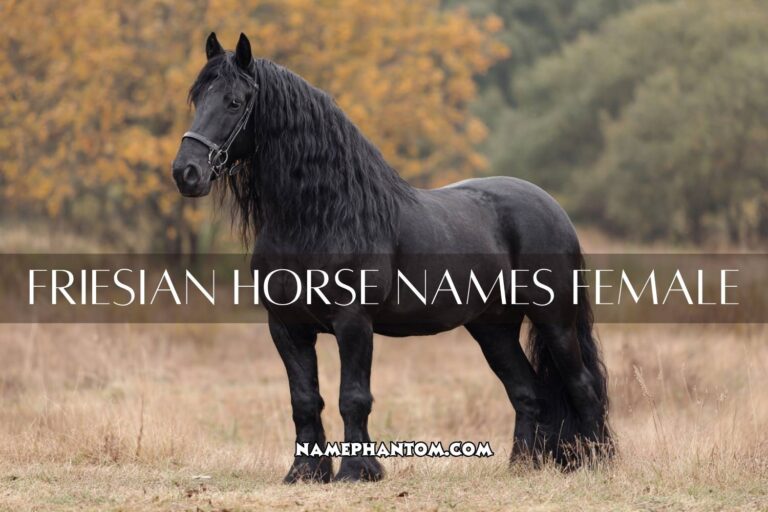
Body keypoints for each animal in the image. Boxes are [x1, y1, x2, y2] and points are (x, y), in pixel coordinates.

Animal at [172, 32, 612, 483]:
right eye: (197, 97)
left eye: (234, 102)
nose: (186, 173)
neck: (322, 216)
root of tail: (552, 207)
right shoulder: (286, 327)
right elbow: (305, 399)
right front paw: (305, 472)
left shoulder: (353, 323)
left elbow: (353, 396)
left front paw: (357, 471)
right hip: (494, 328)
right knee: (527, 392)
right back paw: (521, 467)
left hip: (555, 320)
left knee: (582, 385)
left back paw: (596, 463)